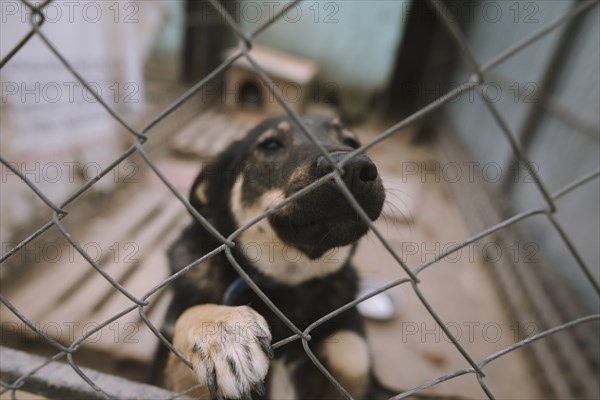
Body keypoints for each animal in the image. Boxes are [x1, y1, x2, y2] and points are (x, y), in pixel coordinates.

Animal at [152, 114, 392, 398]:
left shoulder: (354, 355)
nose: (354, 167)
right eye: (271, 145)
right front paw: (222, 329)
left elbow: (350, 351)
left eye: (352, 142)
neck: (285, 285)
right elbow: (191, 315)